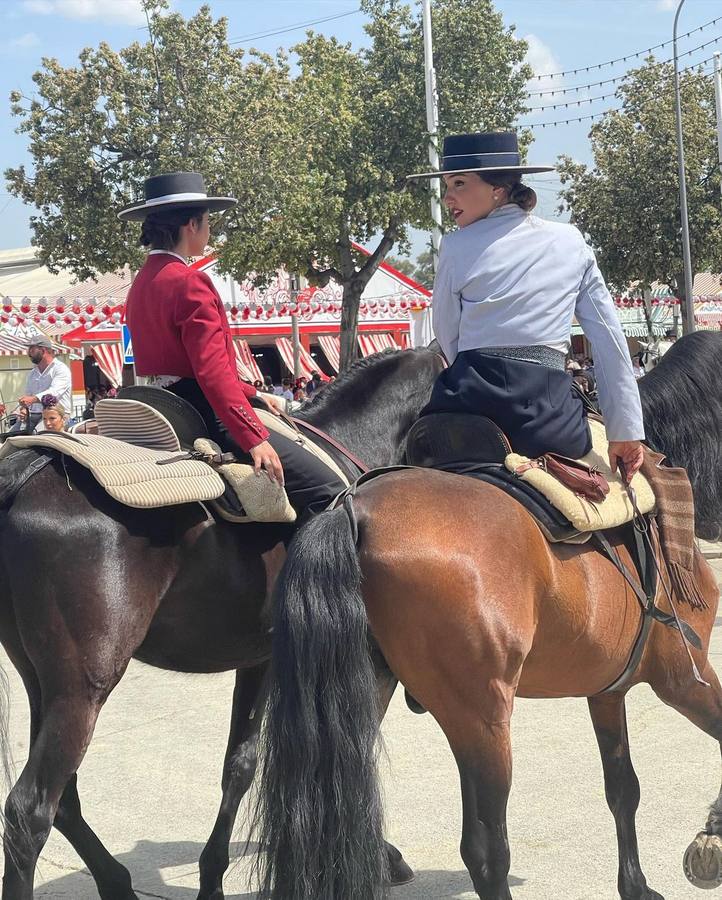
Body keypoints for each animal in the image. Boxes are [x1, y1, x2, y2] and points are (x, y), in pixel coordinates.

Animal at [0, 348, 444, 900]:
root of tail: (26, 473)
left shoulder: (258, 659)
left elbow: (240, 762)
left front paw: (212, 875)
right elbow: (341, 744)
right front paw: (378, 855)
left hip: (42, 679)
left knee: (64, 799)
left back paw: (116, 880)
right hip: (82, 687)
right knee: (29, 811)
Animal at [256, 332, 720, 900]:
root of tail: (353, 508)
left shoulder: (607, 689)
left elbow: (622, 787)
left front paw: (635, 884)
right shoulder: (684, 677)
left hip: (370, 699)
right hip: (482, 720)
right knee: (486, 850)